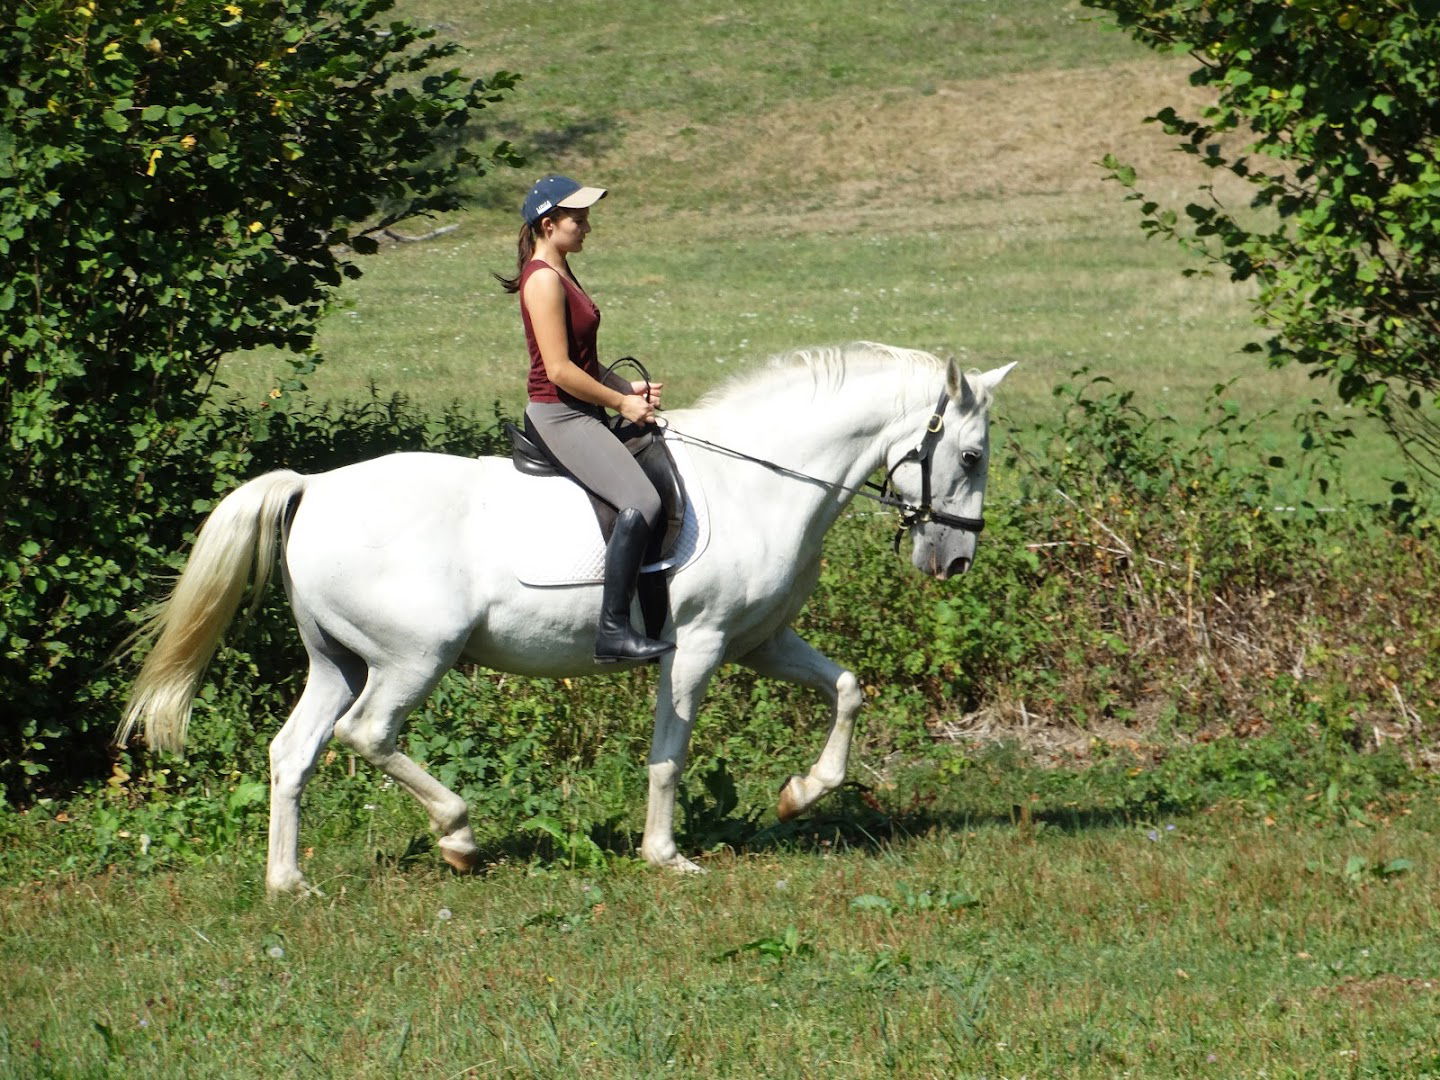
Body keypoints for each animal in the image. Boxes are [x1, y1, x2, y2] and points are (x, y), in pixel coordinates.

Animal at [118, 344, 1013, 898]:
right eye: (970, 456)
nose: (955, 563)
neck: (760, 482)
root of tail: (316, 488)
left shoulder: (762, 642)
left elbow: (849, 689)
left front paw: (801, 796)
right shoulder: (698, 648)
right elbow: (669, 758)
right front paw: (667, 856)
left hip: (338, 661)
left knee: (292, 753)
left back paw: (289, 882)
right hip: (412, 659)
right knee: (367, 735)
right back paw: (458, 836)